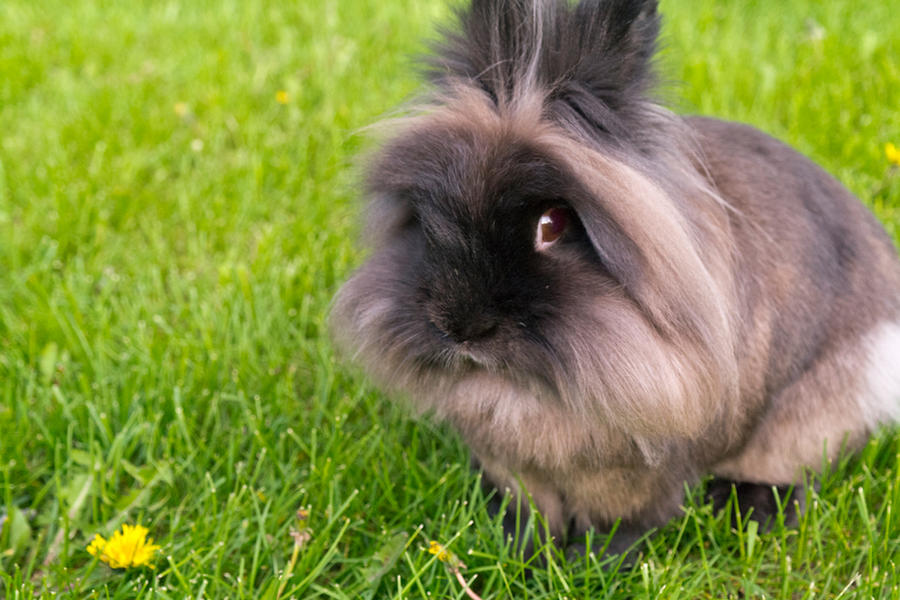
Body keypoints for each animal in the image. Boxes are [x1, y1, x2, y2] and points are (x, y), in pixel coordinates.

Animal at [331, 0, 900, 556]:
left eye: (552, 224)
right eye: (429, 216)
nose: (460, 327)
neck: (525, 391)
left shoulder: (646, 472)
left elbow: (629, 518)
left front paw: (592, 560)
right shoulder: (511, 464)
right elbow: (526, 506)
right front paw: (519, 548)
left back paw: (749, 511)